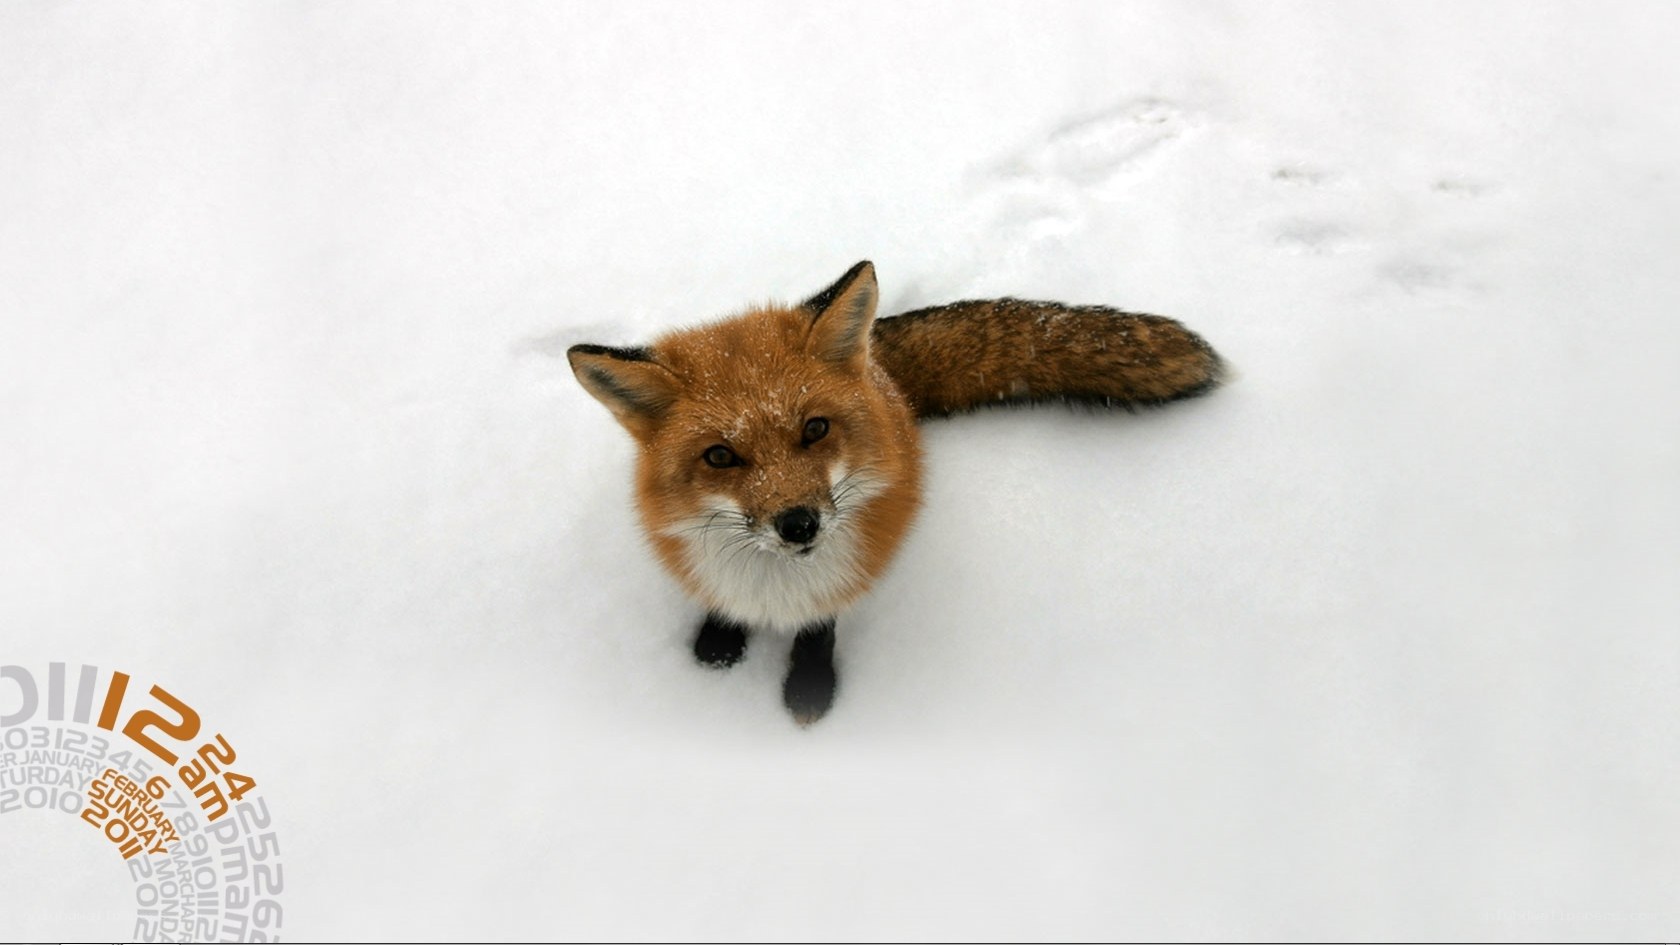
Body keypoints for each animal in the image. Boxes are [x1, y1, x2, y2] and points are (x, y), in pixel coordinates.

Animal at [568, 261, 1222, 725]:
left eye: (815, 429)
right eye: (720, 457)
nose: (798, 524)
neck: (777, 589)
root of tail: (880, 369)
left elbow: (820, 629)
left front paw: (810, 689)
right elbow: (721, 606)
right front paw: (718, 643)